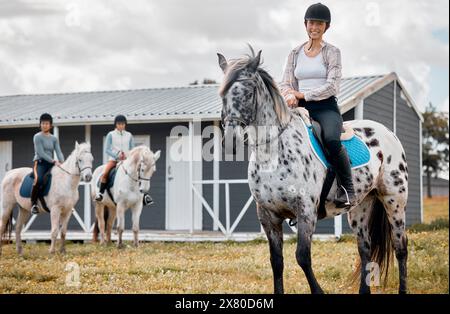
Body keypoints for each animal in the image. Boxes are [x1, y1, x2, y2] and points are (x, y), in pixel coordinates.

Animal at [216, 47, 410, 294]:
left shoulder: (306, 211)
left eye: (249, 92)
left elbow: (302, 257)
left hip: (394, 201)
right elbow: (276, 261)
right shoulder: (268, 216)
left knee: (400, 247)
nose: (230, 142)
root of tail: (389, 132)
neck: (273, 152)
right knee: (365, 248)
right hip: (360, 206)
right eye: (222, 94)